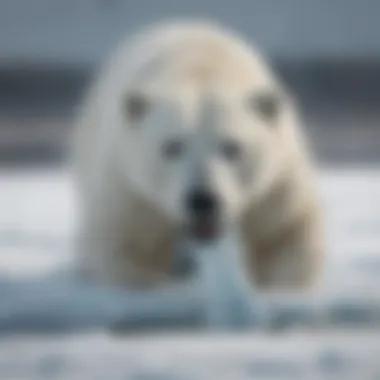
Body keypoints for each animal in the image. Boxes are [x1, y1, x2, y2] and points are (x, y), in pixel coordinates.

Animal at [72, 19, 326, 296]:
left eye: (231, 147)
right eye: (173, 146)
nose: (202, 200)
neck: (198, 68)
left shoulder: (273, 188)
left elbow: (284, 234)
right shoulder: (132, 192)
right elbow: (127, 246)